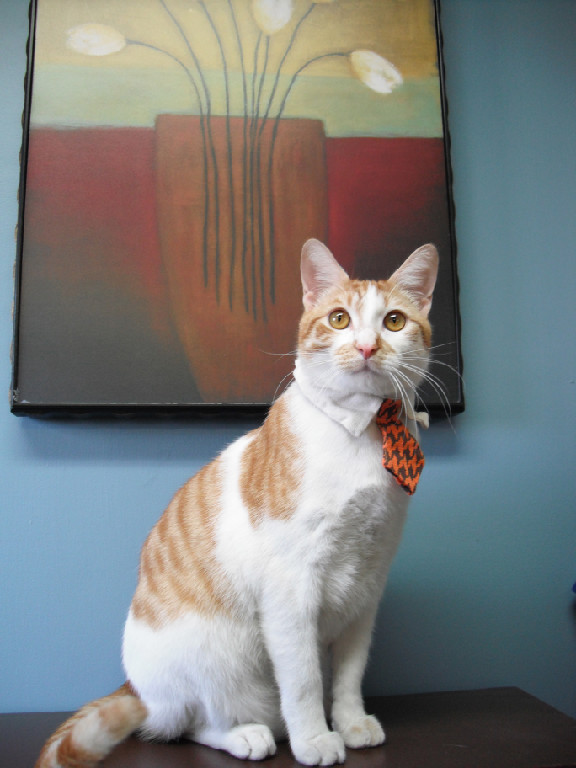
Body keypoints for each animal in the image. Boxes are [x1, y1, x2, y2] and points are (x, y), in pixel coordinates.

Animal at [35, 238, 438, 768]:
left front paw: (351, 724)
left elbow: (349, 675)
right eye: (339, 319)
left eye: (393, 321)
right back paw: (248, 736)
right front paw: (314, 739)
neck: (365, 431)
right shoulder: (290, 590)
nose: (367, 346)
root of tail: (134, 688)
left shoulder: (366, 590)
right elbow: (305, 681)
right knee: (192, 725)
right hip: (212, 660)